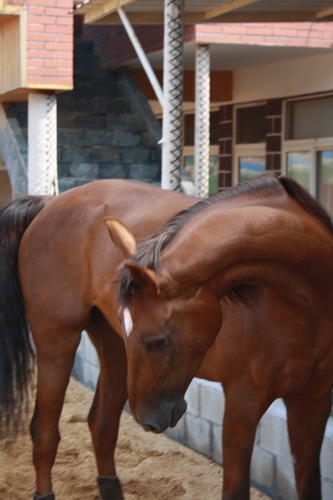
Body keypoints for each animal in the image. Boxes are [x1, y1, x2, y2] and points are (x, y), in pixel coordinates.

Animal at [0, 174, 330, 498]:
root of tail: (49, 204)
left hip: (113, 349)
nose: (149, 419)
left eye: (156, 341)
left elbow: (309, 483)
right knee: (44, 432)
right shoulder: (242, 403)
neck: (302, 307)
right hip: (58, 341)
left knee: (102, 424)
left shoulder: (312, 402)